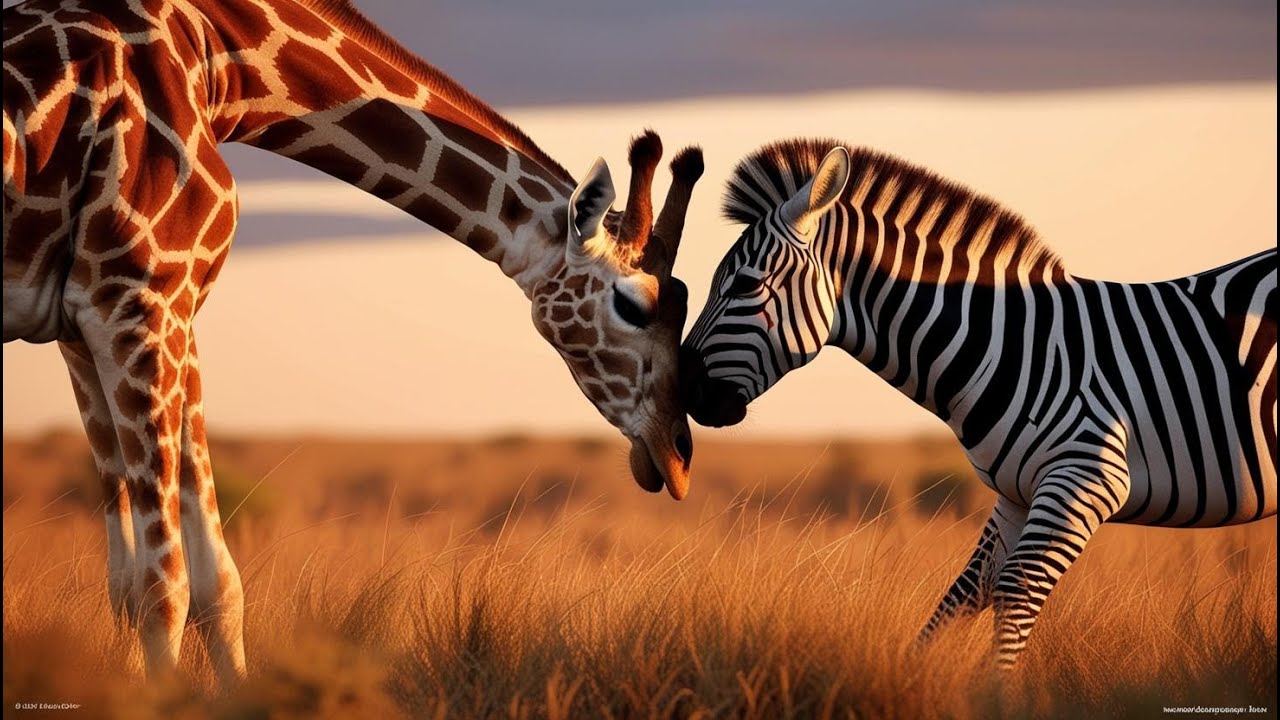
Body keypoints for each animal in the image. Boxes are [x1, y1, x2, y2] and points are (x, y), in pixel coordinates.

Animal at [2, 0, 704, 683]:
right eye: (633, 305)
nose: (676, 458)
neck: (222, 65)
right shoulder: (139, 296)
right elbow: (164, 585)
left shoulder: (109, 318)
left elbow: (190, 582)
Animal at [679, 138, 1278, 668]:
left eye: (747, 286)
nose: (683, 391)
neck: (1014, 347)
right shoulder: (1016, 492)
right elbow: (965, 593)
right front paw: (915, 681)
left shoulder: (1088, 475)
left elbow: (1014, 592)